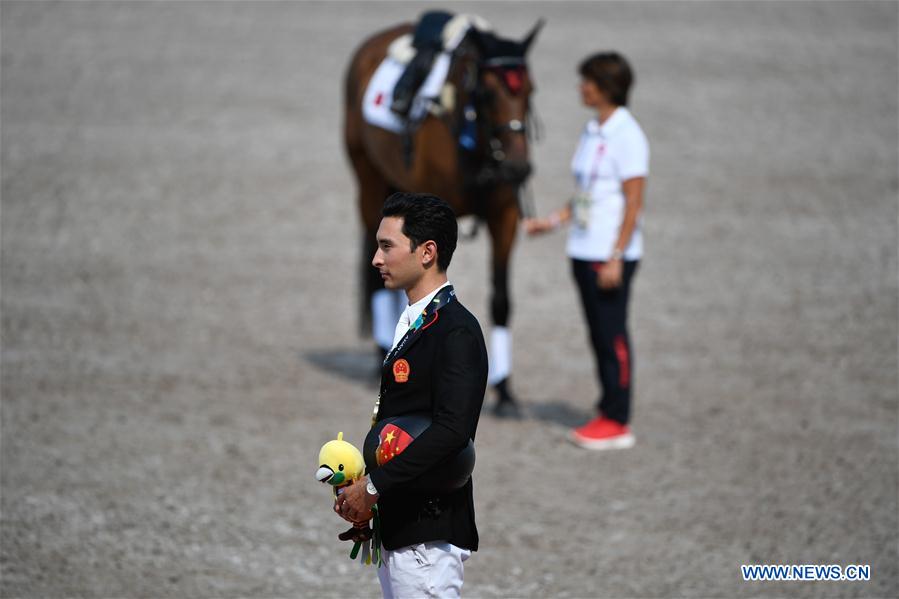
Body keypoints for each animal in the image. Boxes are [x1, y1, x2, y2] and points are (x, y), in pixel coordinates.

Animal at [344, 15, 540, 418]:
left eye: (530, 91)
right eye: (488, 94)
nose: (518, 168)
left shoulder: (505, 215)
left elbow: (501, 299)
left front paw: (505, 392)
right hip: (369, 180)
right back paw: (381, 351)